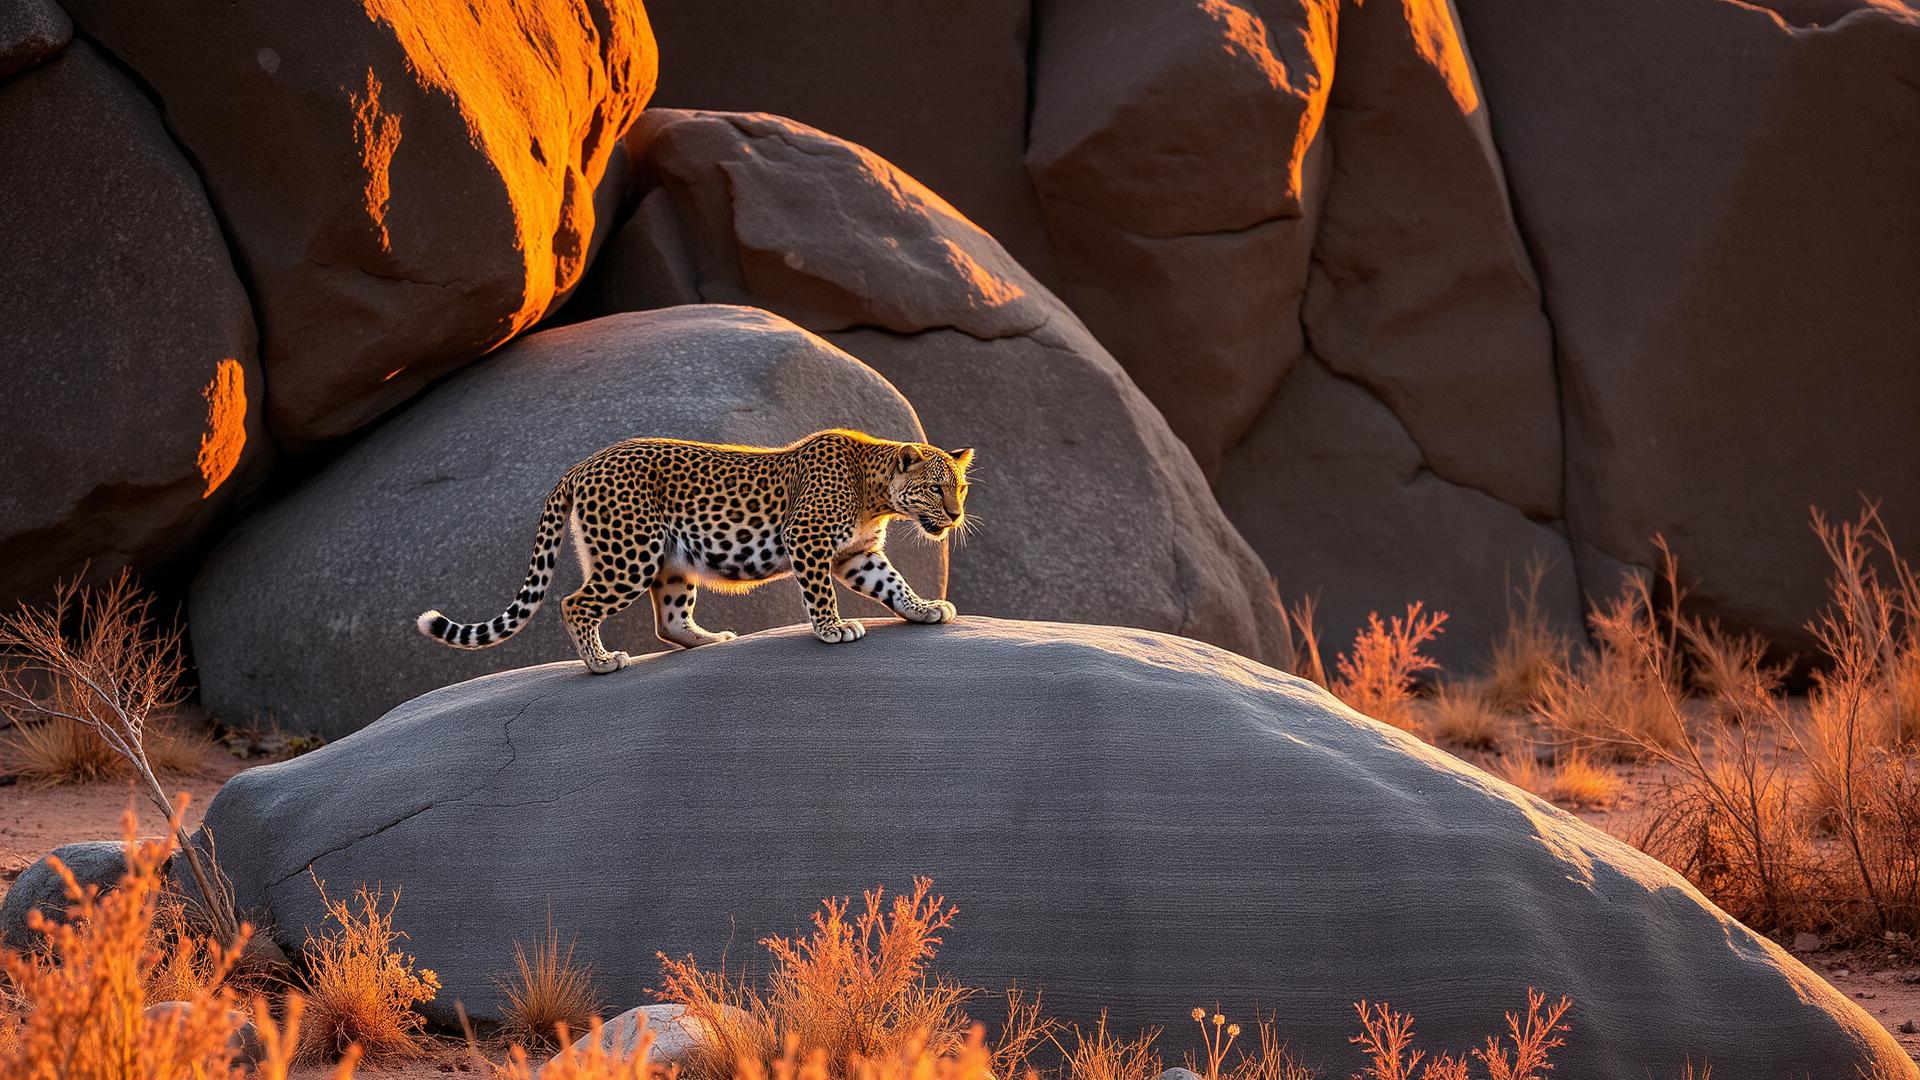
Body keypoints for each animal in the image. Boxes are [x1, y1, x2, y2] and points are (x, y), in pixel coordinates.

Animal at [415, 428, 973, 673]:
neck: (874, 495)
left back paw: (709, 639)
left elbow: (892, 583)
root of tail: (582, 464)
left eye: (961, 488)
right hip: (630, 555)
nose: (955, 516)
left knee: (668, 622)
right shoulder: (807, 540)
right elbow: (820, 595)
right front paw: (833, 629)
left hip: (670, 562)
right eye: (934, 489)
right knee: (574, 603)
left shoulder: (855, 553)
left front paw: (924, 609)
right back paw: (601, 661)